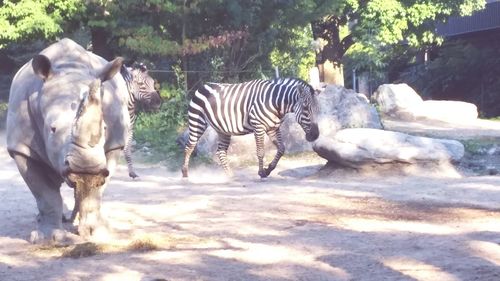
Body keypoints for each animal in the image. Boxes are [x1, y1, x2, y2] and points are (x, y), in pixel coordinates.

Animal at [184, 77, 320, 177]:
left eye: (317, 109)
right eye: (305, 108)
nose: (315, 135)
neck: (274, 102)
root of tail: (203, 86)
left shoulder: (273, 128)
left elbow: (281, 149)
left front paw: (269, 169)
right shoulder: (258, 127)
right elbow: (260, 152)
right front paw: (261, 172)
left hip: (222, 129)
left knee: (221, 151)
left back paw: (230, 175)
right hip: (197, 122)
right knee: (189, 147)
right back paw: (185, 173)